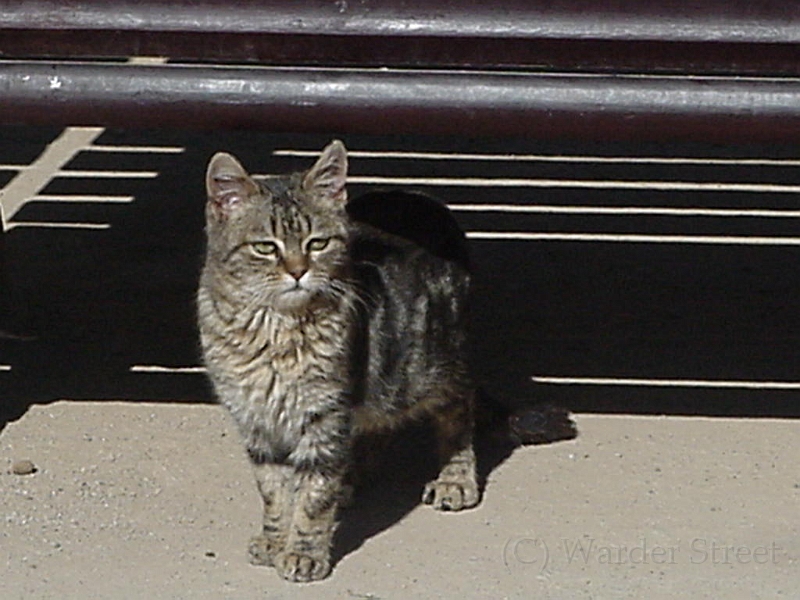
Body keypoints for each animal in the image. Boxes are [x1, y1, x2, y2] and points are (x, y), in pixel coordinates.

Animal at [197, 141, 478, 580]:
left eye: (317, 243)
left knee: (458, 410)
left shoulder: (325, 412)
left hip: (429, 365)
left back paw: (455, 478)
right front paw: (275, 539)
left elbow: (314, 495)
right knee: (375, 425)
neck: (274, 330)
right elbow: (273, 490)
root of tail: (418, 198)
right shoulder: (254, 418)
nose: (298, 271)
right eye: (266, 247)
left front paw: (303, 551)